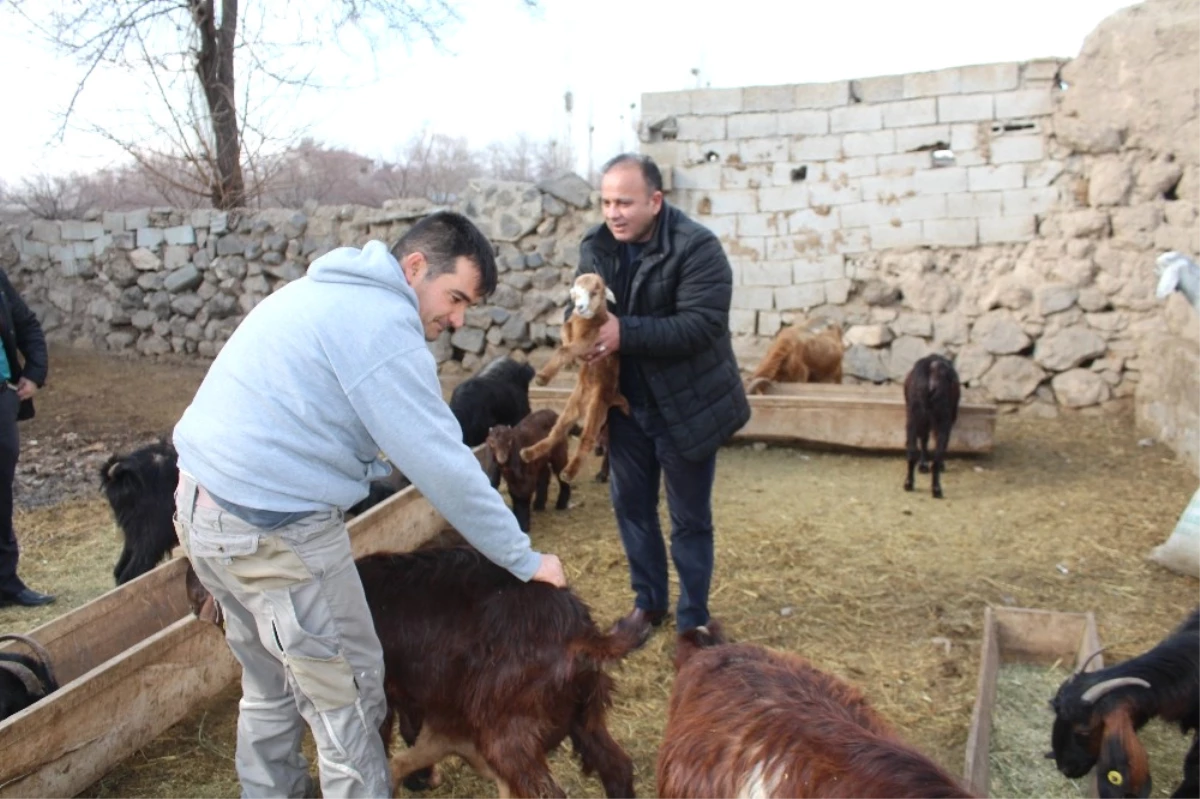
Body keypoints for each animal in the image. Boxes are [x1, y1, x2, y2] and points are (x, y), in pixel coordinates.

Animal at [355, 547, 638, 796]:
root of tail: (580, 632)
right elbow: (409, 729)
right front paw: (420, 777)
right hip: (584, 711)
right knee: (617, 767)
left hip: (507, 730)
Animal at [518, 271, 633, 482]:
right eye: (576, 292)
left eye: (595, 292)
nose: (580, 307)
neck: (589, 320)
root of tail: (613, 396)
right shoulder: (572, 324)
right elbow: (564, 330)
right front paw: (564, 365)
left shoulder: (591, 341)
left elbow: (564, 350)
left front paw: (543, 377)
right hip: (571, 406)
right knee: (557, 433)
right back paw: (529, 453)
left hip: (597, 407)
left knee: (587, 439)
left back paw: (568, 472)